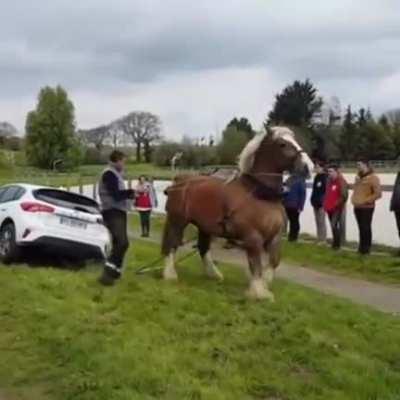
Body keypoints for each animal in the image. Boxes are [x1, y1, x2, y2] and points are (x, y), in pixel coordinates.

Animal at [161, 126, 314, 298]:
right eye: (282, 144)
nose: (308, 166)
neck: (261, 195)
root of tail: (179, 179)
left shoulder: (275, 238)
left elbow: (274, 261)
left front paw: (265, 283)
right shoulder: (253, 238)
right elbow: (256, 264)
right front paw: (258, 292)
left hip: (204, 227)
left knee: (203, 248)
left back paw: (214, 274)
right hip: (177, 221)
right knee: (171, 244)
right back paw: (170, 274)